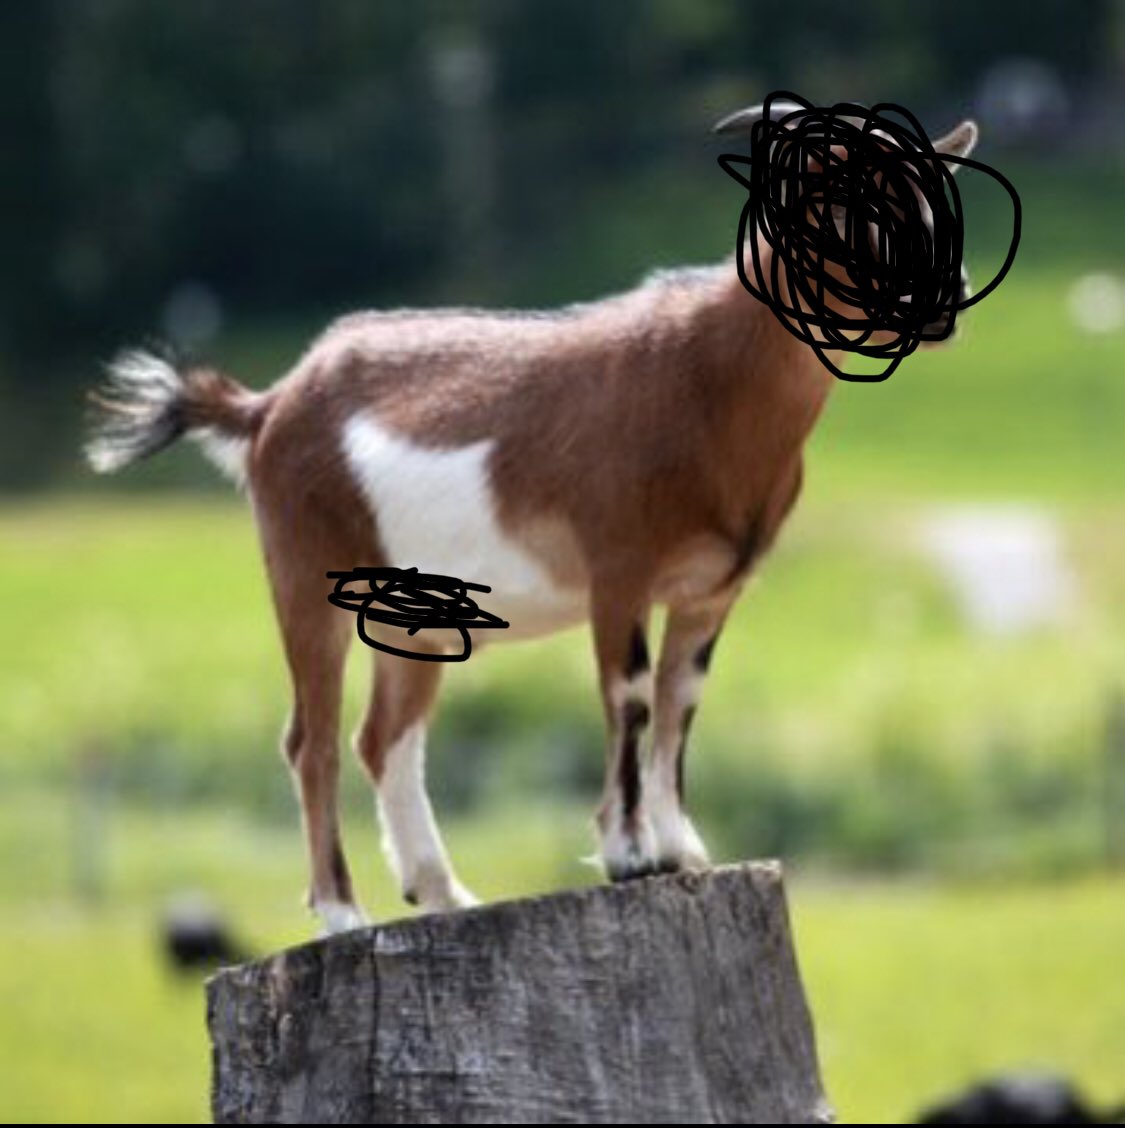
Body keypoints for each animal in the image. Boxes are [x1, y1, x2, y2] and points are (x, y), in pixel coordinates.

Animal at [85, 102, 979, 933]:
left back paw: (442, 892)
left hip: (410, 619)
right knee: (312, 739)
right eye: (848, 209)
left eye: (936, 206)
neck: (707, 384)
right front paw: (626, 856)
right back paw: (342, 913)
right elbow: (630, 696)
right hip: (306, 572)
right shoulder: (618, 570)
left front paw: (681, 849)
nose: (941, 306)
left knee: (381, 736)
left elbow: (681, 699)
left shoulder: (710, 590)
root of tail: (267, 406)